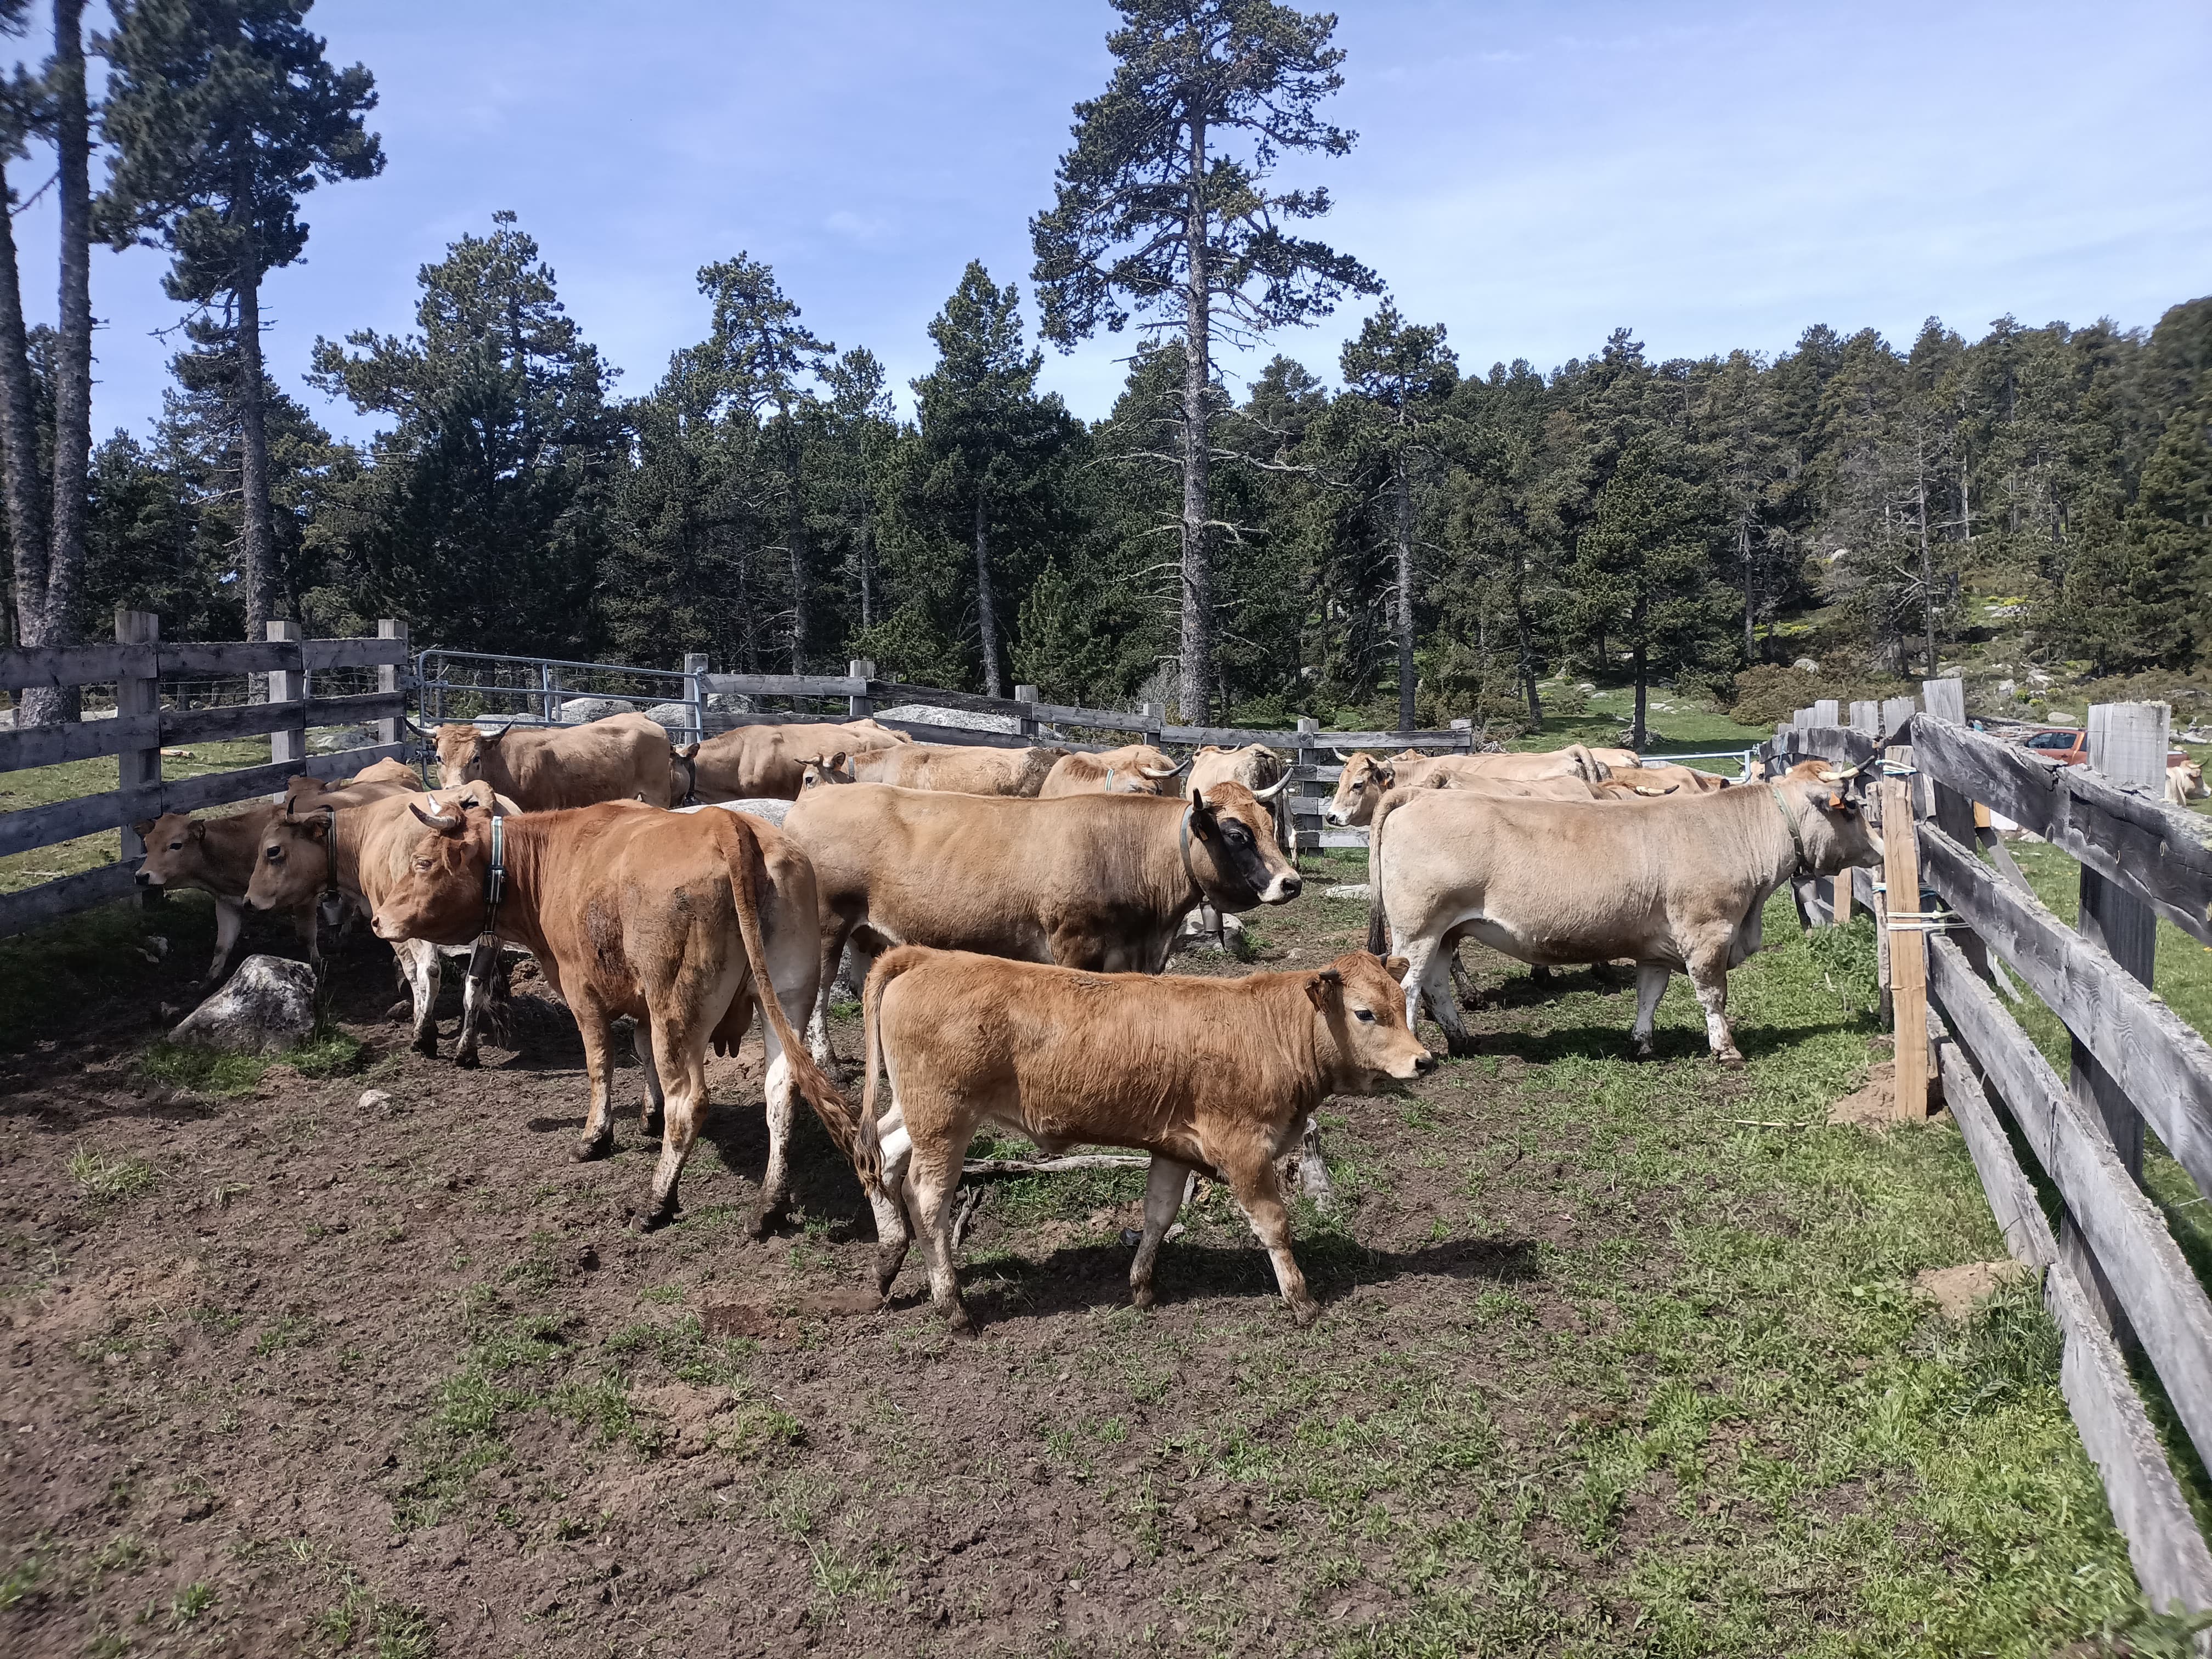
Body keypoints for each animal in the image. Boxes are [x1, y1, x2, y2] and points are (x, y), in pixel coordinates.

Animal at [245, 778, 519, 1063]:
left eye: (272, 851)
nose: (249, 900)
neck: (365, 832)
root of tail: (473, 791)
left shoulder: (391, 920)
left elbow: (414, 973)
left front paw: (421, 1023)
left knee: (429, 972)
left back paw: (424, 1037)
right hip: (489, 933)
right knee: (475, 980)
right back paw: (466, 1050)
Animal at [367, 799, 876, 1230]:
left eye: (423, 863)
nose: (377, 921)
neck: (550, 860)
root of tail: (725, 824)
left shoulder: (584, 993)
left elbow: (601, 1064)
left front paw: (596, 1136)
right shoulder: (642, 1001)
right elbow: (642, 1050)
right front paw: (649, 1114)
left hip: (678, 1004)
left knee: (689, 1101)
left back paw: (657, 1202)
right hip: (785, 998)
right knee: (781, 1093)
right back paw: (769, 1205)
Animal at [784, 780, 1303, 1063]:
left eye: (1270, 824)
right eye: (1237, 834)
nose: (1292, 883)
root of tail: (809, 801)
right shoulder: (1074, 944)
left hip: (869, 931)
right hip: (827, 923)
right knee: (820, 993)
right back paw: (826, 1059)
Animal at [854, 946, 1429, 1330]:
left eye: (1402, 1004)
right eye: (1365, 1013)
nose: (1425, 1060)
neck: (1269, 1030)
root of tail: (927, 957)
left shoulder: (1174, 1148)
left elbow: (1158, 1215)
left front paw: (1142, 1287)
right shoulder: (1244, 1150)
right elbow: (1273, 1225)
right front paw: (1302, 1300)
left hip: (915, 1112)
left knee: (880, 1158)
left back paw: (888, 1261)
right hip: (946, 1118)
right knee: (927, 1199)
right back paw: (951, 1306)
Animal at [1368, 759, 1881, 1064]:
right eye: (1851, 808)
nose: (1878, 850)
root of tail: (1420, 794)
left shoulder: (1656, 946)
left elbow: (1649, 994)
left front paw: (1642, 1043)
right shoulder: (1708, 932)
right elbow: (1714, 994)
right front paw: (1726, 1049)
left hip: (1447, 931)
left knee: (1436, 984)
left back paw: (1463, 1040)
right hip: (1420, 927)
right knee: (1408, 986)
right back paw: (1421, 1053)